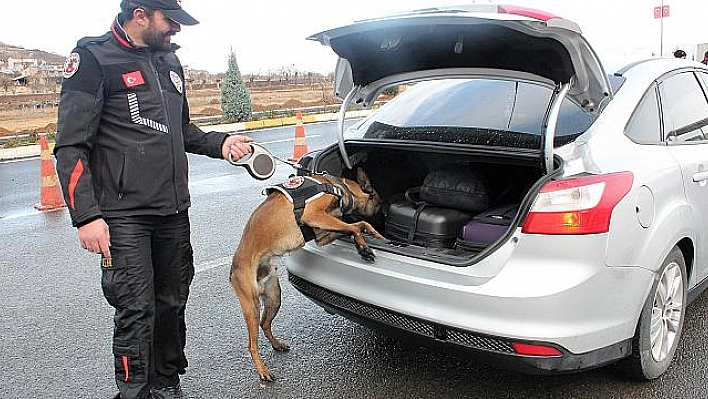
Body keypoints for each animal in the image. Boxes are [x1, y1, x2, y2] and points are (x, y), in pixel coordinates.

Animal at [230, 168, 384, 382]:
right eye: (379, 203)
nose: (385, 217)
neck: (338, 186)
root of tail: (233, 269)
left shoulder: (322, 234)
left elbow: (359, 224)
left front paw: (375, 236)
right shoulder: (314, 215)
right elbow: (354, 226)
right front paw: (363, 246)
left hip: (274, 297)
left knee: (265, 324)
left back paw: (277, 344)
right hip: (251, 306)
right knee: (252, 344)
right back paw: (263, 371)